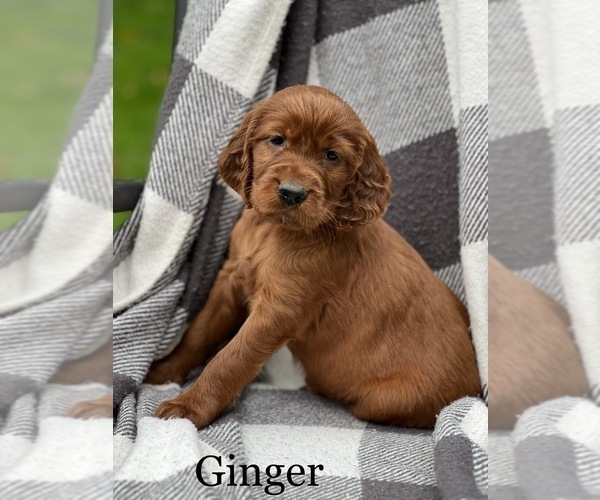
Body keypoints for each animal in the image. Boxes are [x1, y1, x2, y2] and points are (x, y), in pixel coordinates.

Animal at [148, 84, 480, 428]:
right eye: (277, 140)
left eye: (332, 156)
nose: (292, 193)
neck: (275, 231)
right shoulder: (231, 277)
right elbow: (198, 332)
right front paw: (164, 371)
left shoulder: (280, 309)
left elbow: (230, 359)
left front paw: (189, 407)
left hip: (385, 401)